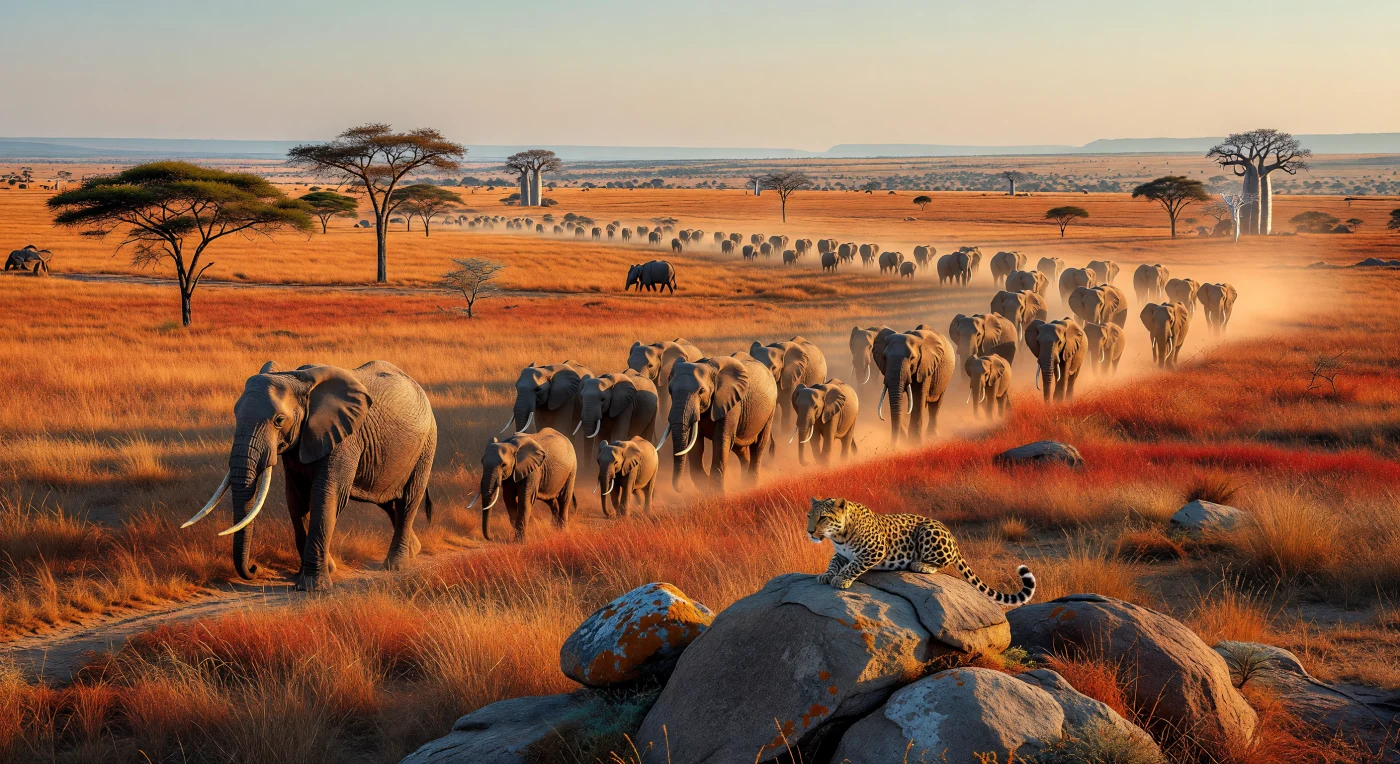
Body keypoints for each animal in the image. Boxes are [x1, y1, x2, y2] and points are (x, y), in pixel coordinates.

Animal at [183, 361, 436, 591]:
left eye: (279, 421)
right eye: (235, 415)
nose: (255, 568)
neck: (297, 380)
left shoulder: (343, 439)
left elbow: (325, 496)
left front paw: (313, 587)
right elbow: (296, 499)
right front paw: (315, 572)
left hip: (426, 446)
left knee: (407, 501)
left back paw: (395, 565)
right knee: (387, 502)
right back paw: (414, 550)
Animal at [663, 354, 778, 493]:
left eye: (701, 391)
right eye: (670, 390)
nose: (682, 488)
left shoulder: (731, 403)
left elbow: (721, 440)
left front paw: (717, 493)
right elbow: (695, 443)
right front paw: (705, 486)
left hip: (770, 410)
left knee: (758, 445)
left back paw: (750, 485)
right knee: (740, 448)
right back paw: (743, 484)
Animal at [806, 497, 1036, 606]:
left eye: (823, 518)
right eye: (809, 515)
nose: (809, 532)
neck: (839, 535)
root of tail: (953, 538)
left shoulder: (874, 549)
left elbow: (854, 565)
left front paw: (841, 579)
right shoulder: (841, 553)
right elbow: (833, 563)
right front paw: (826, 575)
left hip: (928, 531)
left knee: (942, 562)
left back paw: (921, 565)